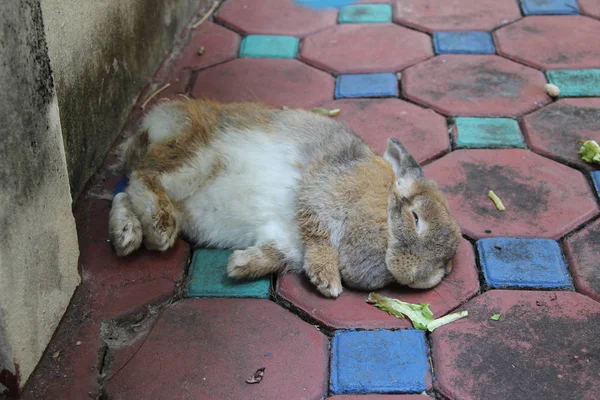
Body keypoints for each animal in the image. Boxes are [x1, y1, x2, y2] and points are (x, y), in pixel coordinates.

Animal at [110, 97, 462, 296]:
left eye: (446, 266)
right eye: (416, 217)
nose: (419, 278)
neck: (384, 205)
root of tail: (156, 123)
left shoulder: (287, 240)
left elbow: (277, 253)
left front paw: (239, 266)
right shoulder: (323, 193)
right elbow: (319, 236)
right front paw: (327, 282)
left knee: (126, 192)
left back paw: (126, 235)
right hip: (196, 162)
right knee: (144, 176)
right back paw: (159, 228)